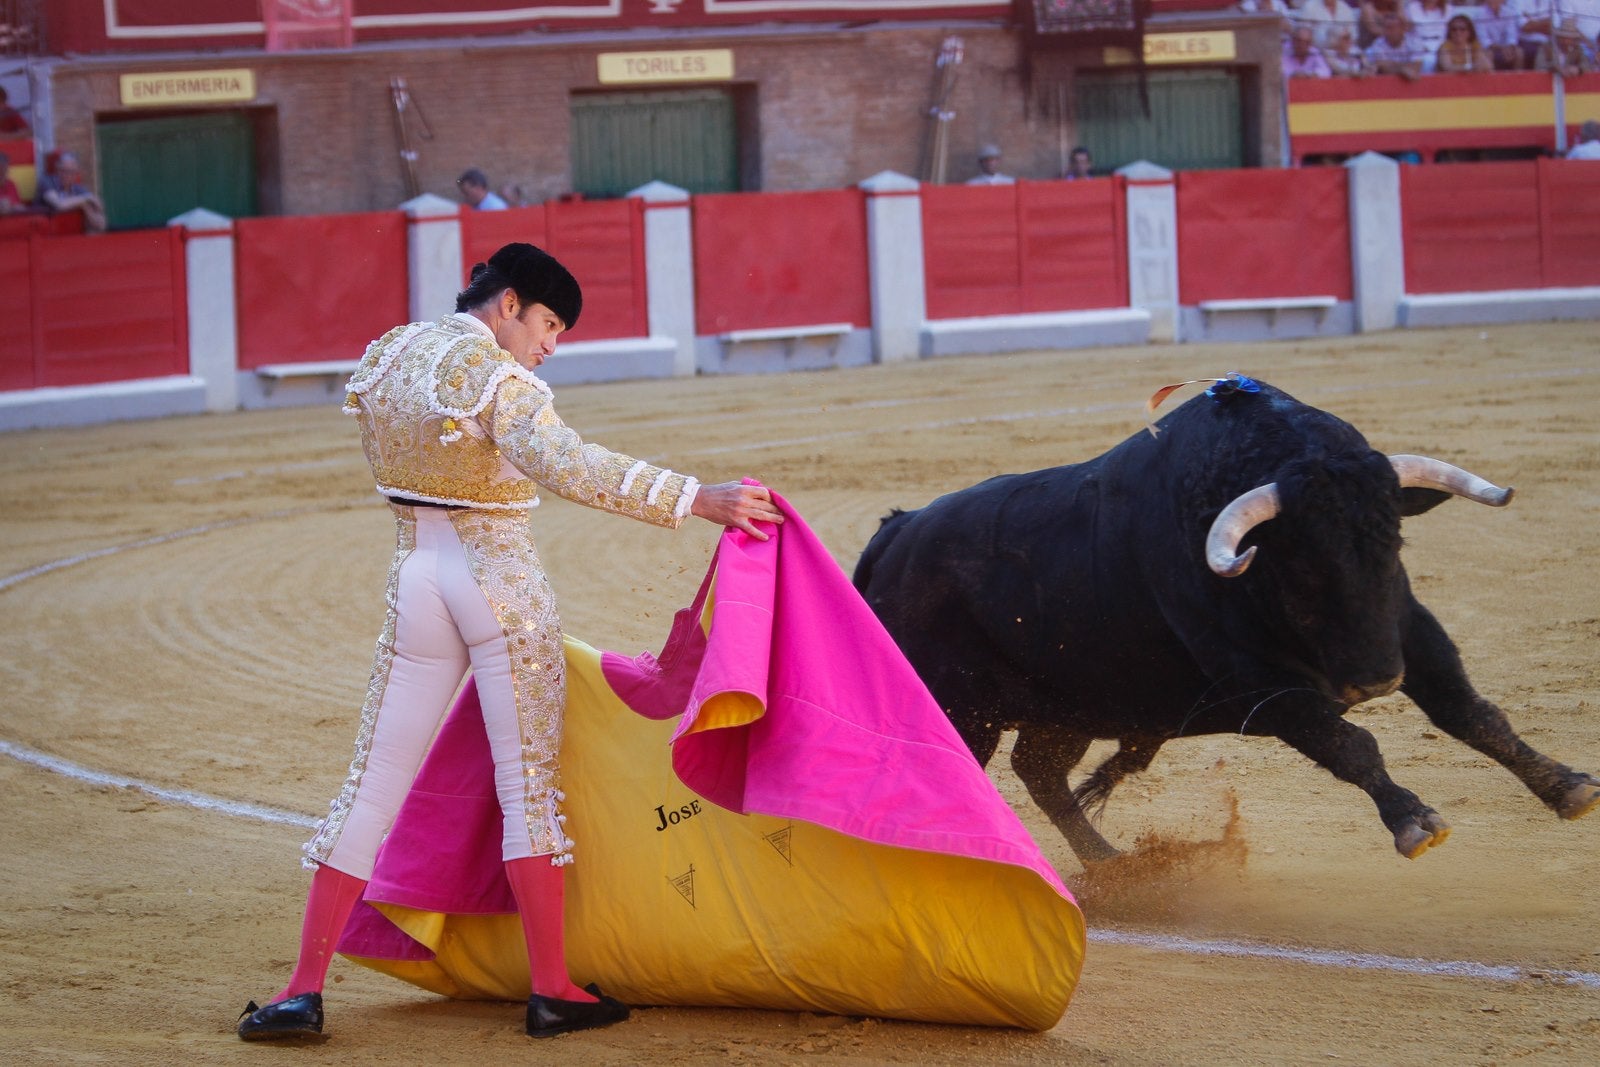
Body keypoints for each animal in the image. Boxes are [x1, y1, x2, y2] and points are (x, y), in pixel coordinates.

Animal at [857, 379, 1593, 863]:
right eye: (1302, 563)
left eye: (1393, 541)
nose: (1376, 681)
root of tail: (893, 534)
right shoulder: (1265, 688)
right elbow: (1353, 745)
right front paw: (1413, 820)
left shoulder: (1408, 625)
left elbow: (1472, 713)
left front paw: (1569, 788)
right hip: (964, 711)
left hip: (1066, 708)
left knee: (1039, 772)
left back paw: (1114, 869)